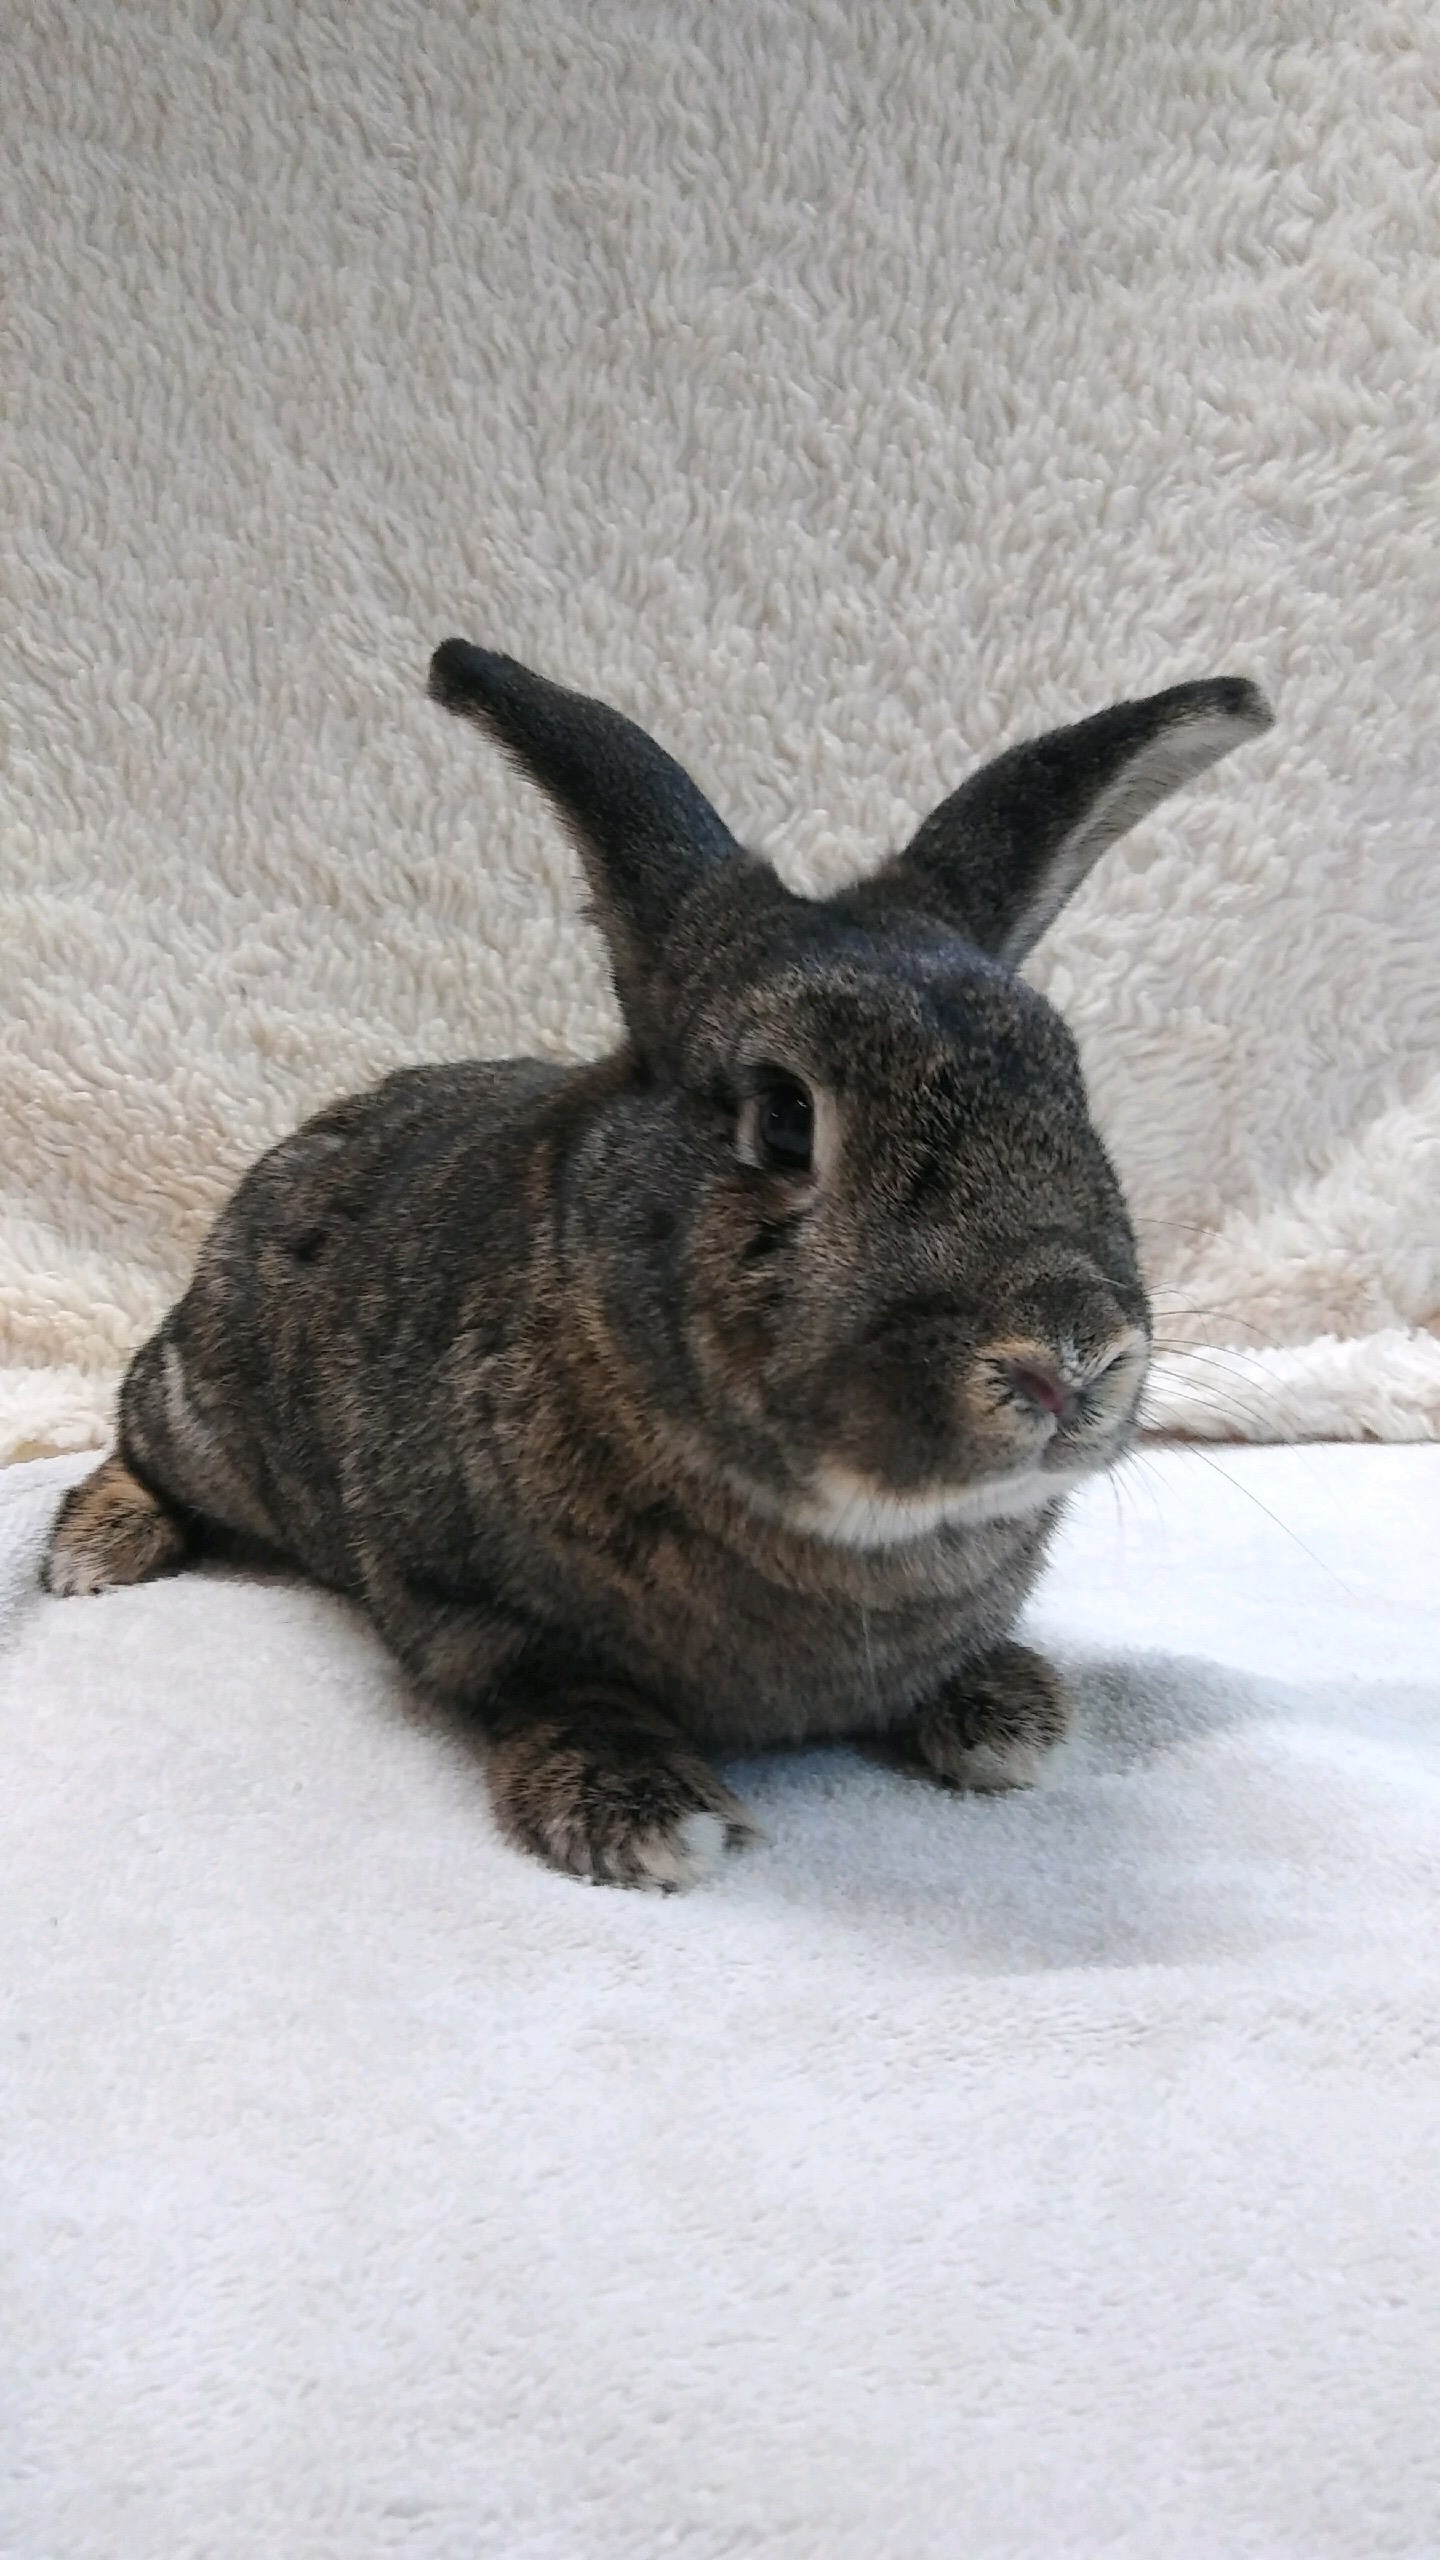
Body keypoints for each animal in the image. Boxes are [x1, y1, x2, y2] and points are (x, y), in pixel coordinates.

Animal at [43, 641, 1272, 1887]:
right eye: (785, 1118)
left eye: (1072, 1086)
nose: (1067, 1360)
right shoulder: (458, 1601)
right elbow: (553, 1684)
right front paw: (645, 1814)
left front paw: (1003, 1714)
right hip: (205, 1409)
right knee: (134, 1440)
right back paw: (93, 1554)